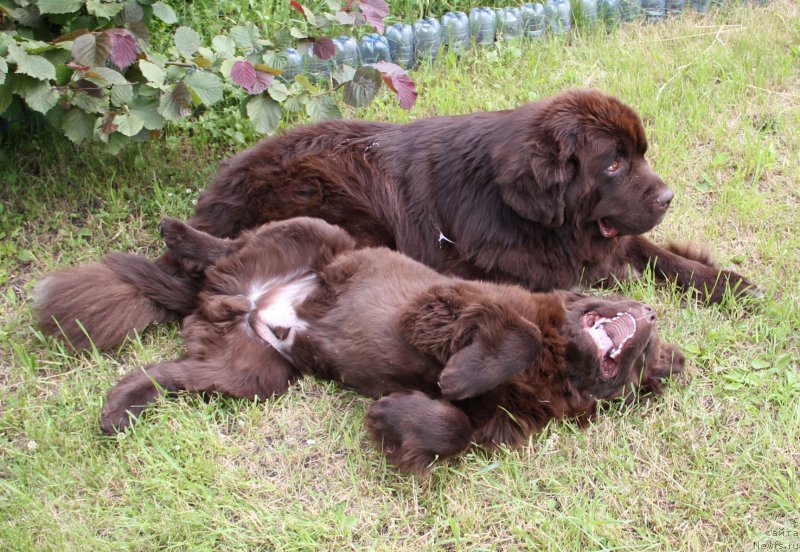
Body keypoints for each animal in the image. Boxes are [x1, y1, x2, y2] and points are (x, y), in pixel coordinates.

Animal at [94, 218, 680, 472]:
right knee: (234, 242)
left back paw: (119, 409)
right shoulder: (449, 304)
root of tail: (242, 300)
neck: (559, 368)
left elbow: (454, 429)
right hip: (316, 232)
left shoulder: (492, 424)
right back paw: (180, 234)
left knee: (168, 374)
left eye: (642, 361)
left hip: (253, 375)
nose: (651, 312)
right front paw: (460, 376)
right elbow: (522, 335)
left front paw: (393, 414)